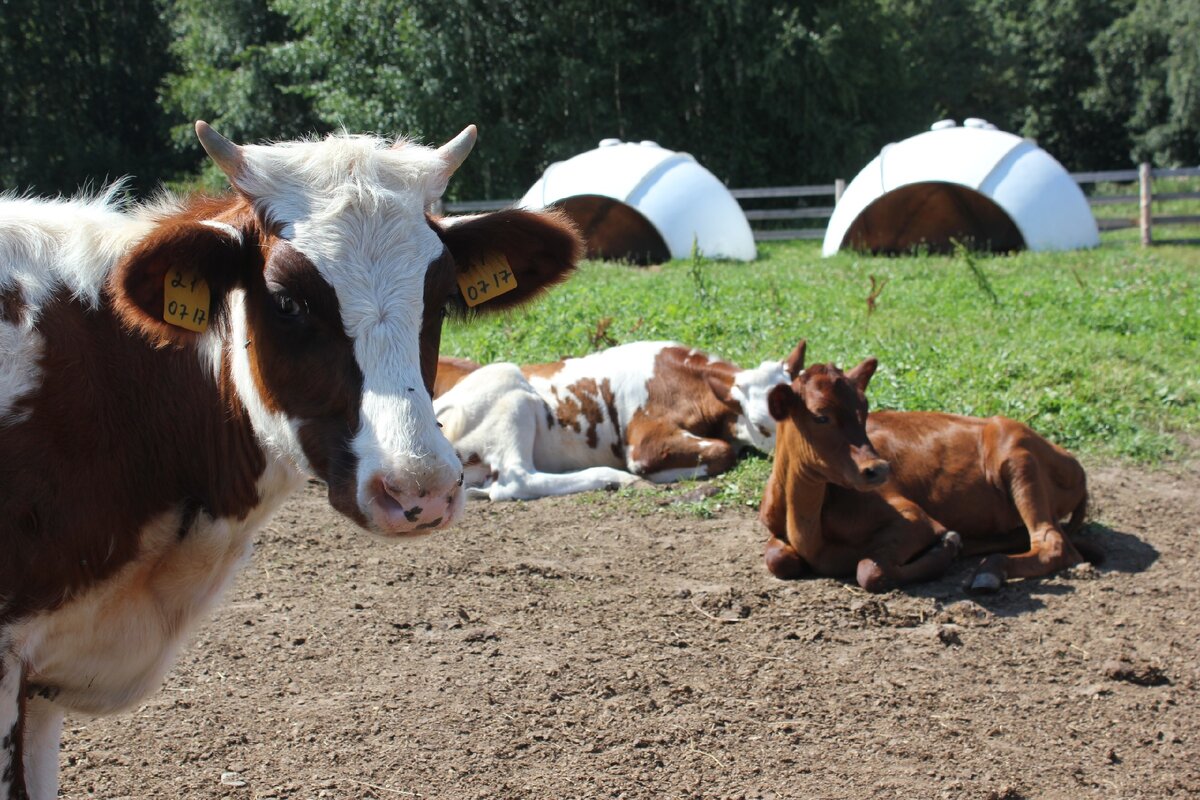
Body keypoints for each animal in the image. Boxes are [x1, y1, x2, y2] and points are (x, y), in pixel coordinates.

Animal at [434, 340, 806, 501]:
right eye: (762, 423)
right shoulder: (643, 444)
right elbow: (722, 451)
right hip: (510, 390)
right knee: (516, 481)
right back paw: (616, 478)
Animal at [758, 340, 1099, 592]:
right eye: (820, 416)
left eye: (864, 409)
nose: (878, 469)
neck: (806, 525)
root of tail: (1073, 463)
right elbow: (777, 559)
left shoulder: (915, 519)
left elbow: (869, 570)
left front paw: (946, 547)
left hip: (1018, 458)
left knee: (1054, 544)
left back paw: (989, 569)